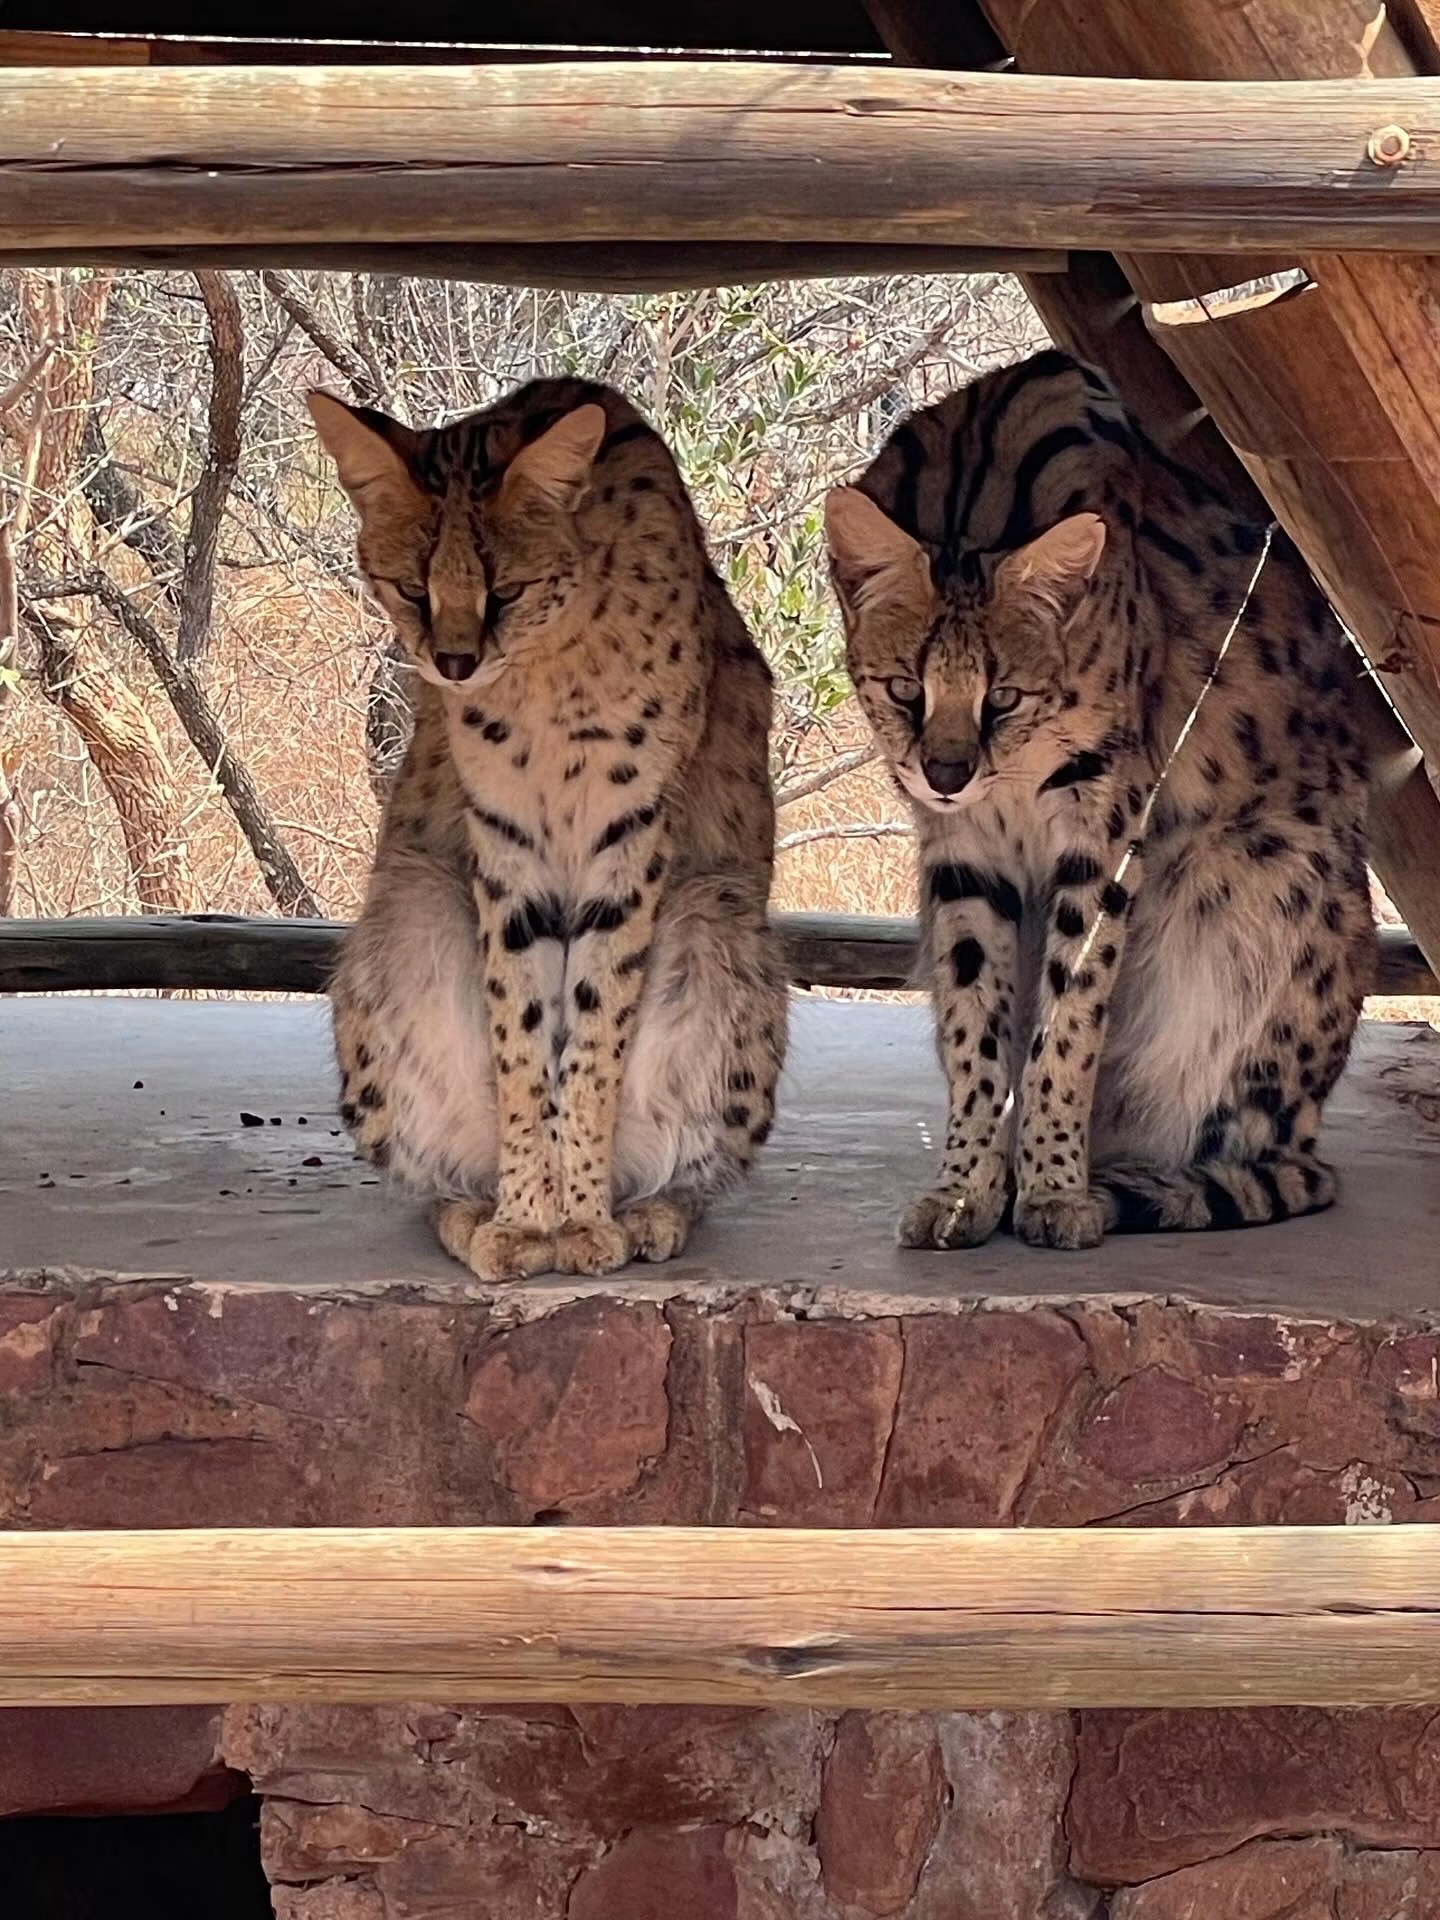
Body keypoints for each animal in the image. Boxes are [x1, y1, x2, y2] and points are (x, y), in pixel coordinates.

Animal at [310, 377, 787, 1283]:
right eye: (410, 588)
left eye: (506, 590)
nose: (453, 665)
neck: (548, 662)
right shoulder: (507, 842)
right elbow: (523, 1036)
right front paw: (531, 1217)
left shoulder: (628, 836)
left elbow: (593, 1034)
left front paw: (582, 1216)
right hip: (411, 899)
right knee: (430, 1172)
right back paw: (475, 1208)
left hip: (717, 910)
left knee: (701, 1165)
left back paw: (645, 1210)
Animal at [825, 347, 1371, 1252]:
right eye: (905, 690)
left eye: (1003, 698)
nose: (945, 774)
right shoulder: (963, 849)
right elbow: (977, 1027)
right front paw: (970, 1187)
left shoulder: (1106, 824)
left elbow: (1069, 1020)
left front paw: (1052, 1186)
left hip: (1267, 874)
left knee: (1279, 1158)